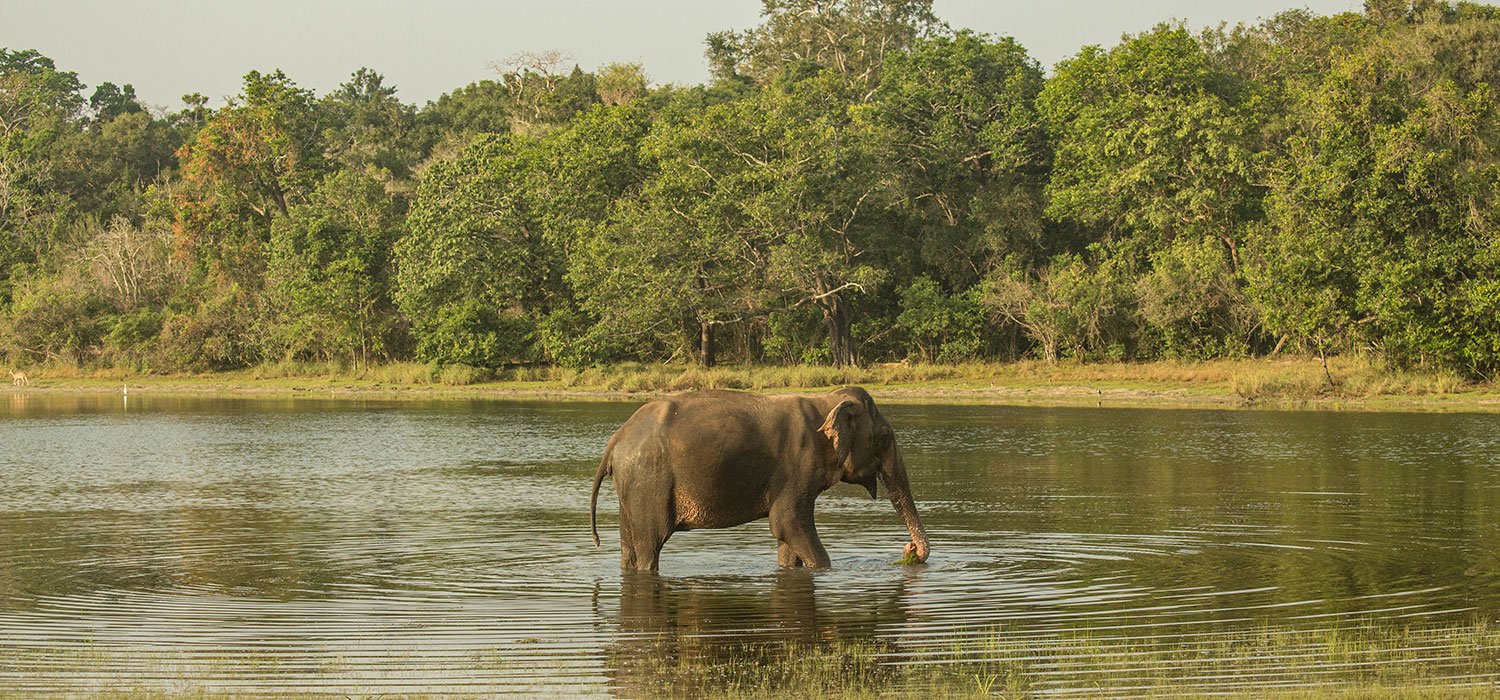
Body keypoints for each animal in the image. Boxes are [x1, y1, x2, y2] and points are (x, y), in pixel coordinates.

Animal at [589, 386, 930, 571]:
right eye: (884, 437)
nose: (909, 550)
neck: (824, 401)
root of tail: (616, 439)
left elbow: (787, 536)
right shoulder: (797, 466)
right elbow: (787, 523)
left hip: (632, 489)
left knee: (629, 546)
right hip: (649, 483)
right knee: (651, 544)